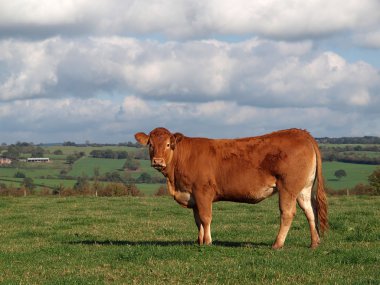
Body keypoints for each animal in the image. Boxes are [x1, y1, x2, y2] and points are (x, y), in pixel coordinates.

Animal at [135, 127, 328, 248]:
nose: (157, 161)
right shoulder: (193, 196)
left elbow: (205, 218)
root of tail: (301, 133)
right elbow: (197, 220)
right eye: (151, 145)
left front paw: (207, 242)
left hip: (288, 187)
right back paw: (314, 243)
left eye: (168, 144)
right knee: (310, 211)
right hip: (303, 189)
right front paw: (199, 241)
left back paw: (277, 244)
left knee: (288, 213)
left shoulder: (203, 191)